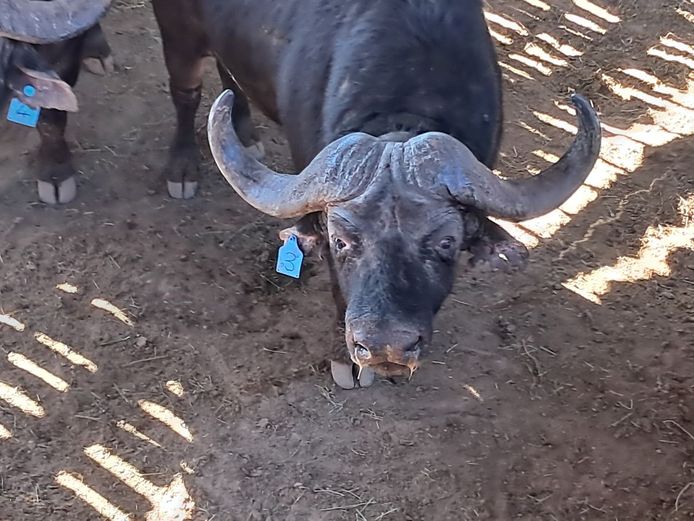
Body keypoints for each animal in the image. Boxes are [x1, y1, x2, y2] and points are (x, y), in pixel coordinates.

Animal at [153, 0, 601, 389]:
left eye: (447, 242)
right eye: (339, 241)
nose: (387, 348)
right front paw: (344, 362)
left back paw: (244, 129)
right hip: (177, 32)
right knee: (186, 90)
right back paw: (182, 167)